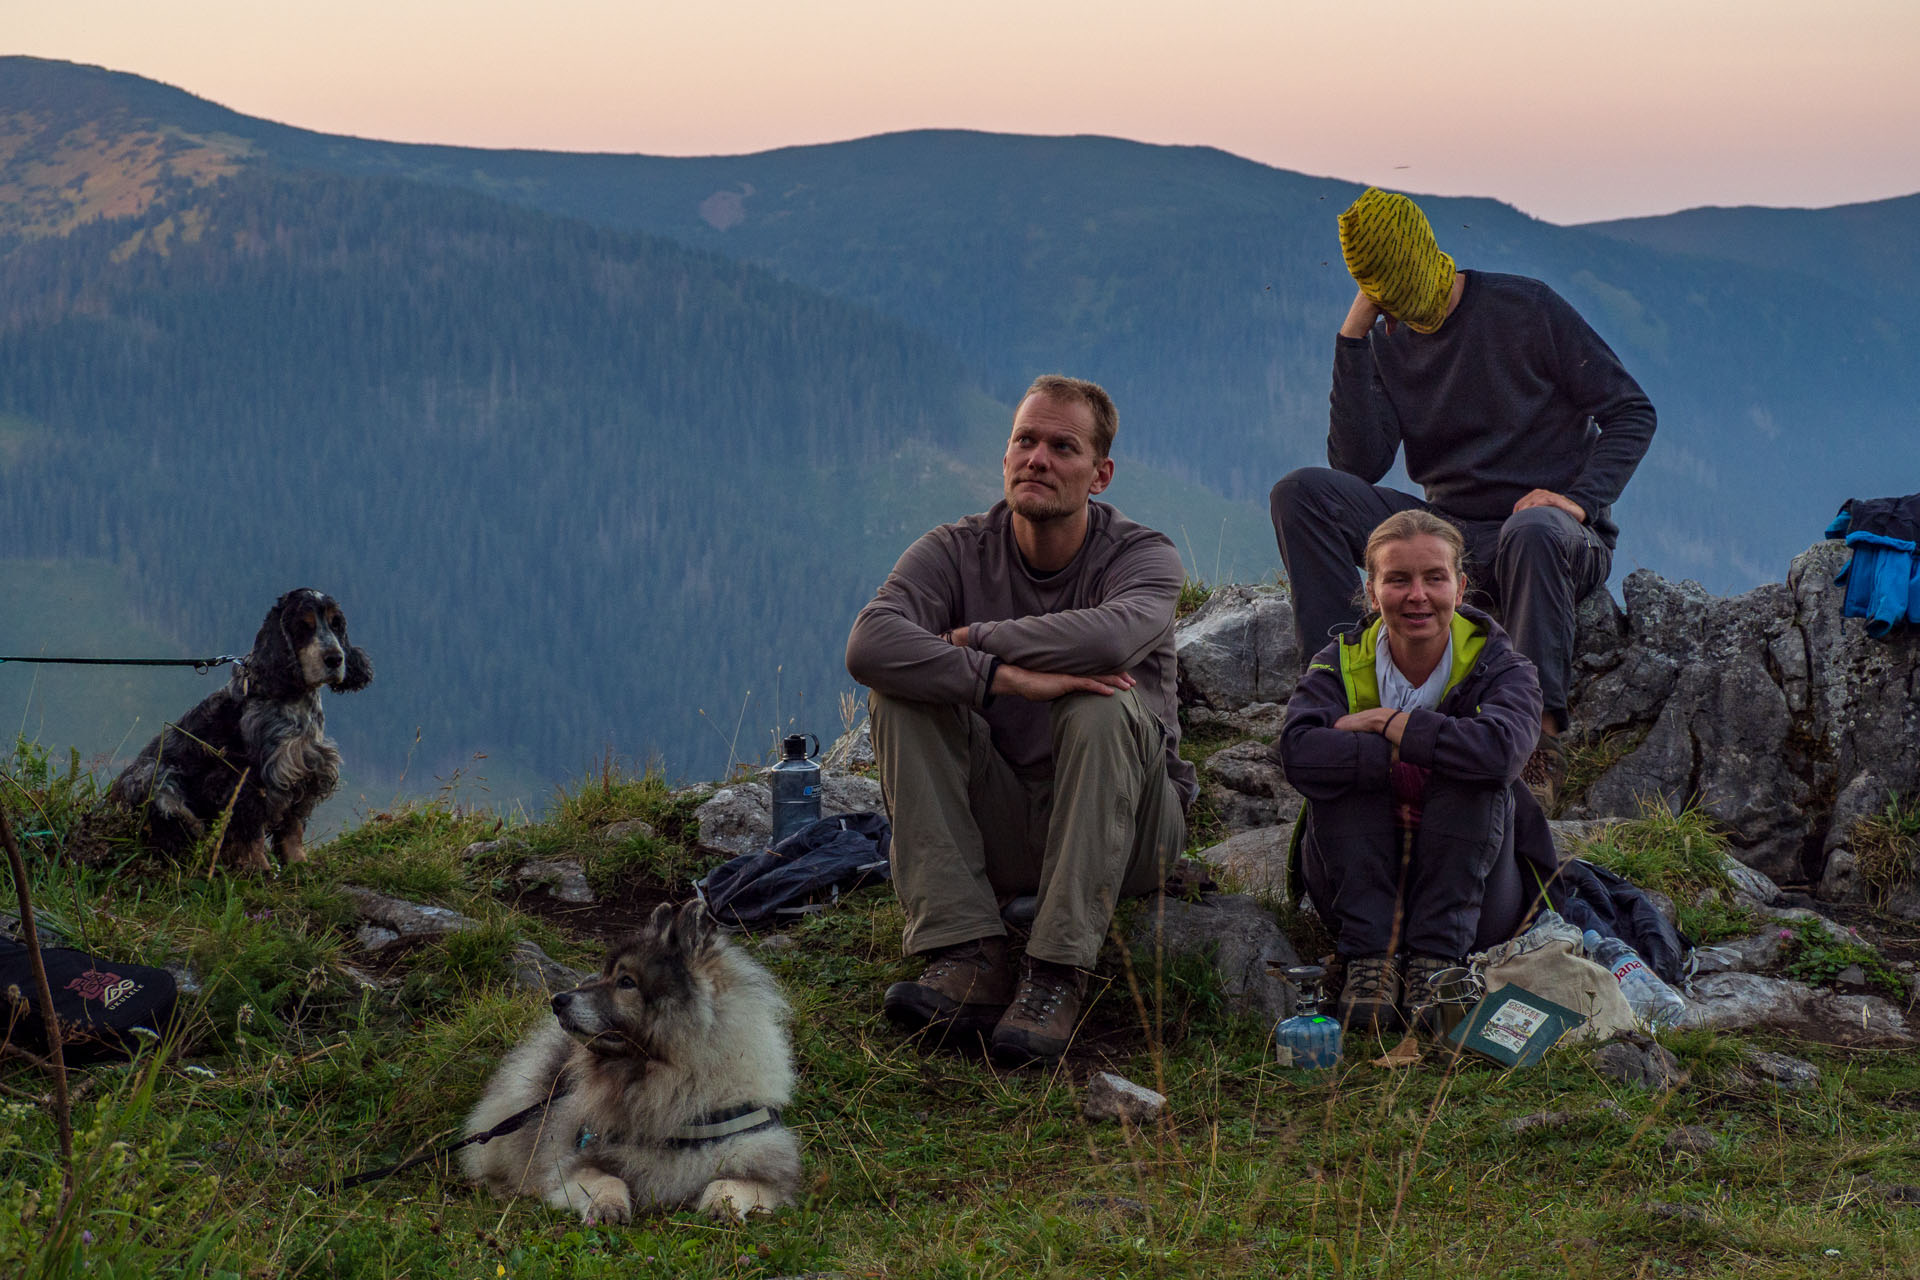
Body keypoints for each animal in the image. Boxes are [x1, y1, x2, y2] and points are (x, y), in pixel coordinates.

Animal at [460, 898, 798, 1228]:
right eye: (606, 975)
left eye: (626, 982)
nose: (557, 1000)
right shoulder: (576, 1161)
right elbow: (609, 1179)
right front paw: (607, 1207)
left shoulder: (766, 1172)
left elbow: (727, 1182)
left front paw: (721, 1208)